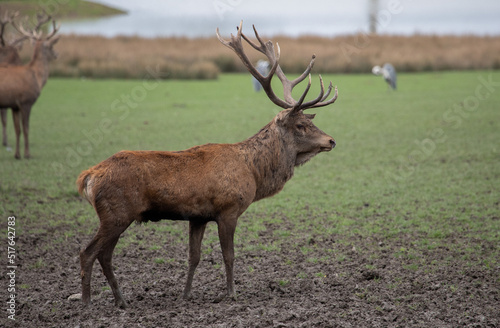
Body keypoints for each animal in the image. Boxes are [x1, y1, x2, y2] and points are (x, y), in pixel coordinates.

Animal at [0, 16, 59, 159]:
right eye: (51, 45)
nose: (57, 54)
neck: (36, 76)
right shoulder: (26, 102)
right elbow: (26, 129)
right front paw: (27, 154)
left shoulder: (14, 106)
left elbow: (17, 129)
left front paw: (17, 154)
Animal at [75, 21, 340, 308]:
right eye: (301, 125)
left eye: (310, 121)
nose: (331, 140)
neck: (253, 173)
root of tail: (88, 176)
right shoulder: (228, 209)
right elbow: (229, 255)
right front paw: (231, 293)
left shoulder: (198, 217)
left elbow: (194, 256)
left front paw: (185, 294)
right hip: (116, 213)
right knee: (88, 252)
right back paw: (88, 302)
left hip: (117, 216)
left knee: (104, 255)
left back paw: (121, 300)